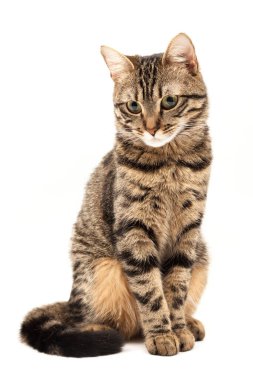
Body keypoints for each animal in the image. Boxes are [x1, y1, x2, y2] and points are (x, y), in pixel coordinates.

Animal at [20, 32, 212, 356]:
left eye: (169, 101)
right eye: (133, 106)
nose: (151, 129)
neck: (170, 162)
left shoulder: (189, 228)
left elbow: (176, 287)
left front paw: (178, 329)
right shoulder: (133, 227)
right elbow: (150, 290)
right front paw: (162, 335)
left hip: (202, 256)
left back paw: (191, 323)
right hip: (101, 270)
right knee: (94, 318)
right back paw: (99, 331)